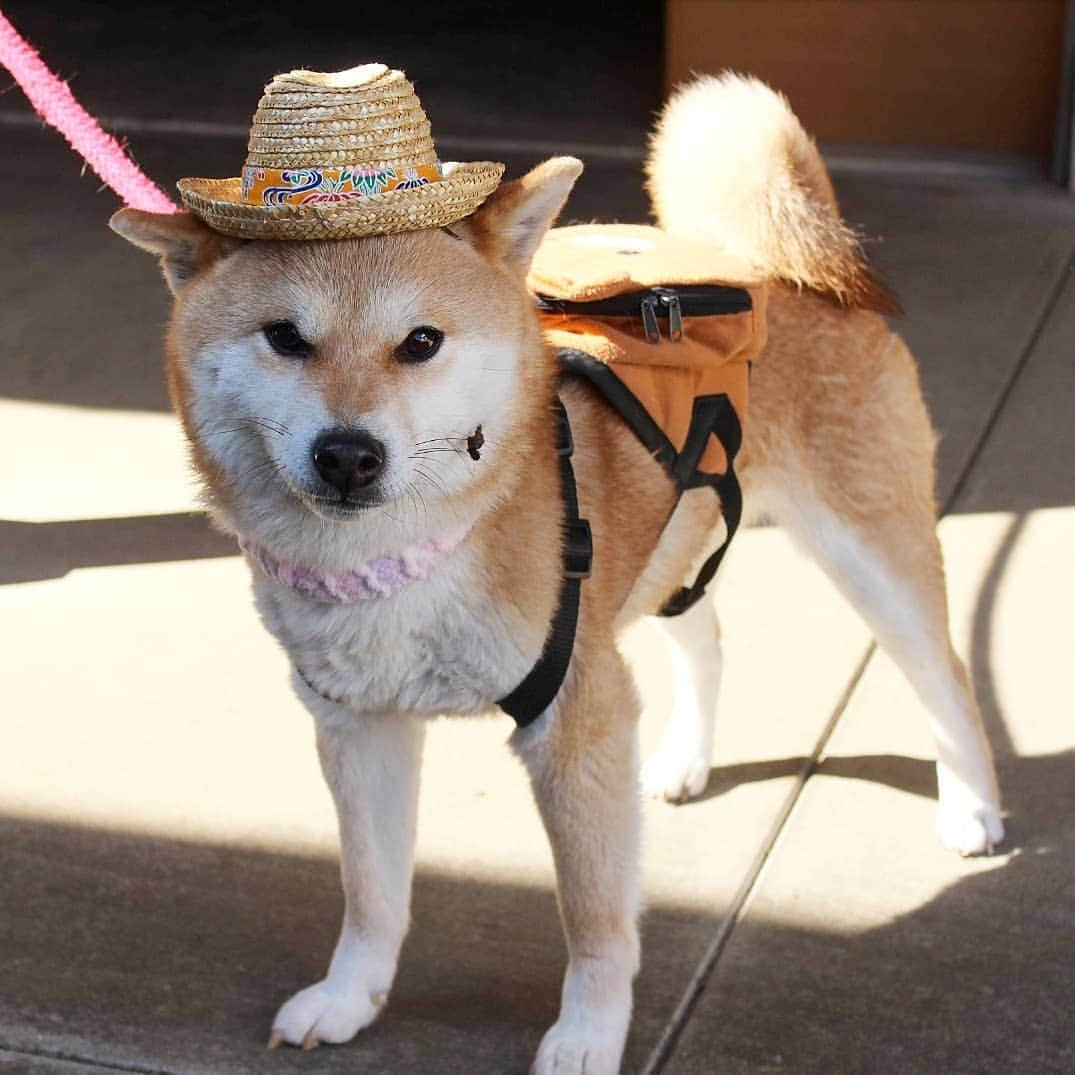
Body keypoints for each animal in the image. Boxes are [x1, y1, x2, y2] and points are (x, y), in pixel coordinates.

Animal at [113, 75, 1001, 1075]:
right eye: (284, 338)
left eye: (420, 342)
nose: (348, 454)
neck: (404, 566)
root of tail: (770, 262)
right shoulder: (358, 725)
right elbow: (371, 892)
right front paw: (351, 998)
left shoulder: (575, 721)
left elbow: (595, 919)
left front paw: (586, 1035)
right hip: (663, 548)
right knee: (705, 636)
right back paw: (685, 760)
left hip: (869, 551)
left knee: (943, 674)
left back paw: (971, 808)